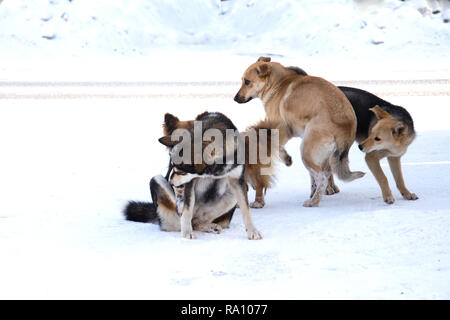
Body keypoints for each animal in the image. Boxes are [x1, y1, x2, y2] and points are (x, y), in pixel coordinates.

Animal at [125, 111, 262, 239]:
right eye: (172, 165)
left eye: (181, 171)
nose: (171, 182)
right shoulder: (190, 183)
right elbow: (187, 208)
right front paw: (186, 232)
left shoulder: (237, 181)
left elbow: (246, 209)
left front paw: (252, 231)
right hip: (157, 182)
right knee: (183, 216)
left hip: (231, 197)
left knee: (197, 222)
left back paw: (208, 226)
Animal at [234, 57, 364, 208]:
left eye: (247, 81)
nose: (235, 98)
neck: (277, 84)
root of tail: (347, 126)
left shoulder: (281, 128)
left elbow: (277, 146)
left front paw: (286, 159)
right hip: (321, 153)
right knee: (323, 174)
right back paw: (316, 193)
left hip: (306, 150)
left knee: (321, 178)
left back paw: (313, 202)